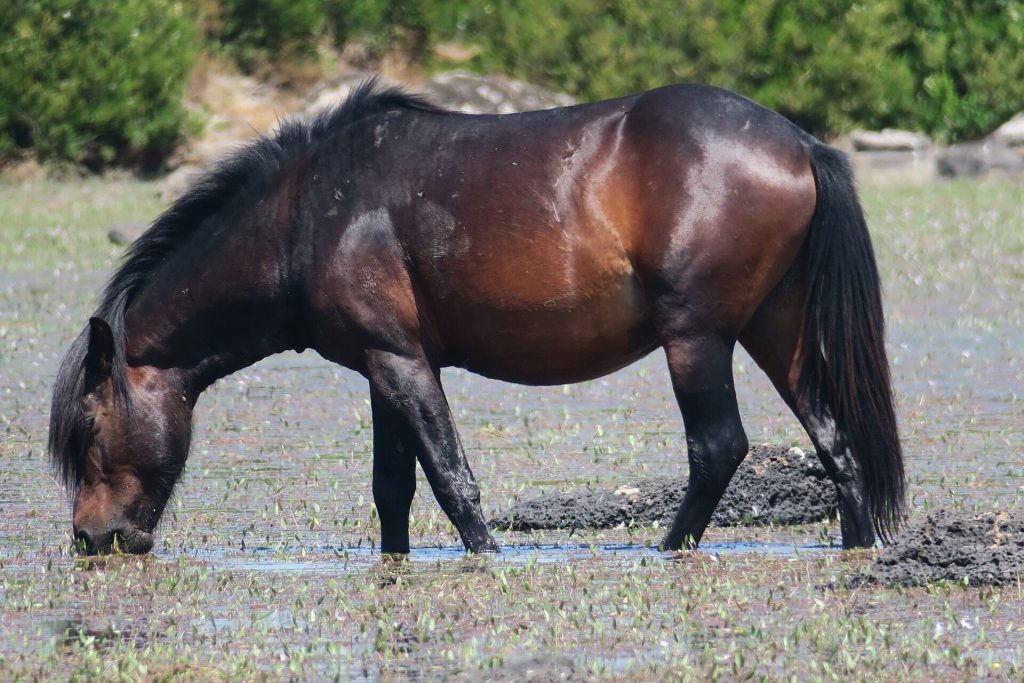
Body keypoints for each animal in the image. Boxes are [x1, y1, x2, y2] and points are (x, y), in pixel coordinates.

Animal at [49, 79, 903, 556]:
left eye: (88, 430)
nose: (91, 539)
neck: (308, 212)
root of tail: (799, 142)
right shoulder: (382, 366)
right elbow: (392, 486)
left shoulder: (402, 361)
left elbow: (451, 478)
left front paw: (484, 555)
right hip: (774, 331)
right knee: (835, 440)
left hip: (696, 338)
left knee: (718, 447)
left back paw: (666, 549)